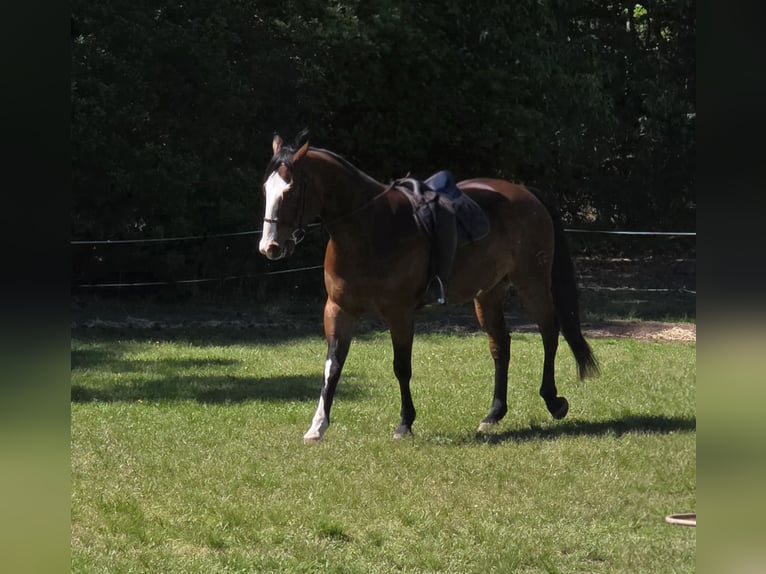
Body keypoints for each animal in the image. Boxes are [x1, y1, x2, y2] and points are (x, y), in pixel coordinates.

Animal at [258, 133, 599, 442]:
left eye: (290, 190)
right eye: (265, 189)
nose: (270, 247)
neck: (367, 228)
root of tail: (526, 192)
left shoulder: (399, 314)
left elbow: (401, 367)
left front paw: (405, 423)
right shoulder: (339, 309)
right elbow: (332, 366)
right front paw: (317, 426)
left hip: (532, 283)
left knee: (549, 332)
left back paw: (553, 401)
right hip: (487, 294)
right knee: (500, 345)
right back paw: (493, 413)